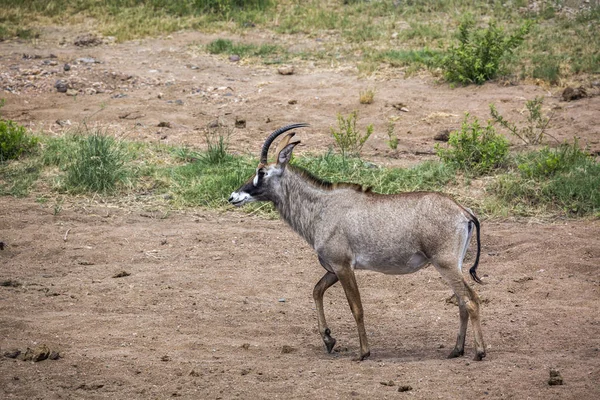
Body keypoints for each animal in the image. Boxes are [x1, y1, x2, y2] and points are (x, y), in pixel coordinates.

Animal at [227, 123, 486, 360]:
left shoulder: (343, 266)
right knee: (462, 302)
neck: (322, 208)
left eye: (261, 172)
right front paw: (328, 339)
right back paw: (456, 350)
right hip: (454, 265)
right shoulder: (333, 268)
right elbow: (316, 291)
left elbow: (356, 308)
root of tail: (464, 212)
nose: (233, 196)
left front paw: (363, 352)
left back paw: (479, 352)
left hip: (445, 263)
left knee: (471, 300)